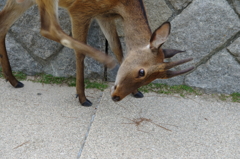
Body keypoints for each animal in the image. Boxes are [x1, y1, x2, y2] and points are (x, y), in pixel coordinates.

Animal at [0, 0, 194, 107]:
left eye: (152, 80)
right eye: (142, 72)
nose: (116, 97)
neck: (120, 4)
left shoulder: (104, 16)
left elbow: (117, 47)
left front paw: (136, 92)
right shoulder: (80, 9)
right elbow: (80, 52)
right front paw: (82, 97)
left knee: (3, 23)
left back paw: (14, 80)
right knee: (48, 28)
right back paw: (104, 60)